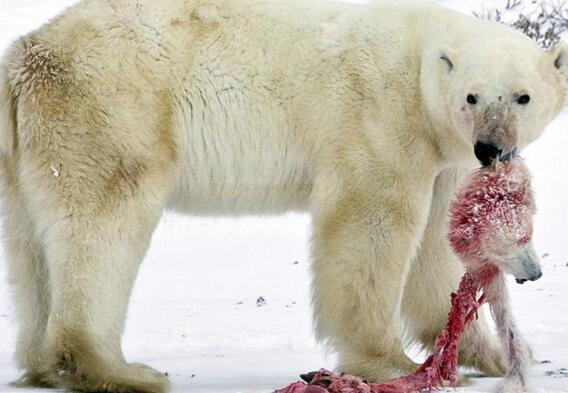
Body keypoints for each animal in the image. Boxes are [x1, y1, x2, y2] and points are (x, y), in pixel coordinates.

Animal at [0, 0, 564, 390]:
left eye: (523, 96)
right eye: (472, 95)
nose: (491, 148)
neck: (421, 60)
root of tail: (27, 54)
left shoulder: (442, 156)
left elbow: (435, 250)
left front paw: (493, 355)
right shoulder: (380, 117)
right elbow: (370, 223)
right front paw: (389, 363)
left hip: (26, 154)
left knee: (32, 248)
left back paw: (44, 365)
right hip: (111, 111)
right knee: (102, 228)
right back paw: (118, 370)